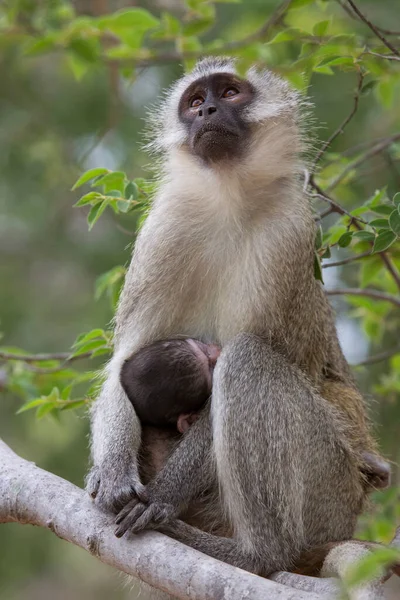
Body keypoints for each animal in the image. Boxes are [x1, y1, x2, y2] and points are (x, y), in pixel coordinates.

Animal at [87, 57, 384, 576]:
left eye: (228, 92)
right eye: (193, 102)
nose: (206, 110)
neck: (229, 198)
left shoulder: (290, 232)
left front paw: (162, 496)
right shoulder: (163, 229)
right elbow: (122, 363)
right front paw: (112, 471)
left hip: (329, 487)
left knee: (248, 358)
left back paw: (256, 554)